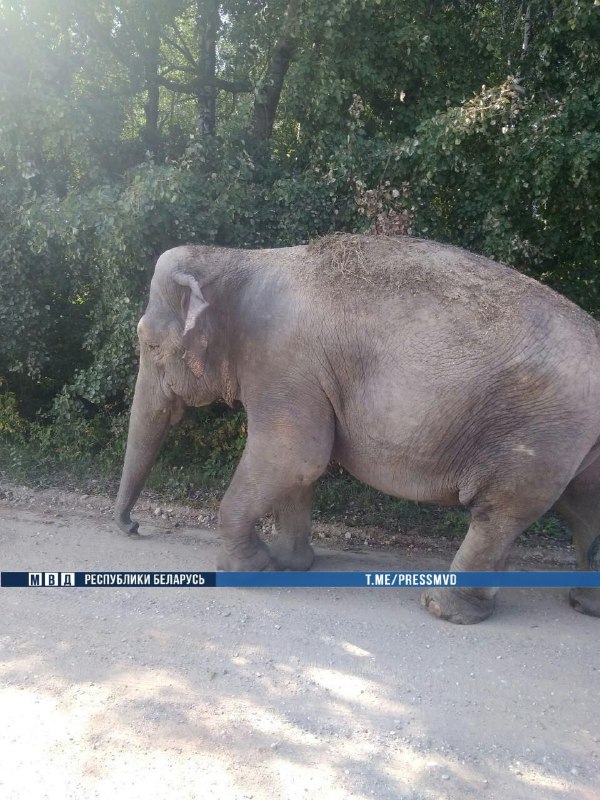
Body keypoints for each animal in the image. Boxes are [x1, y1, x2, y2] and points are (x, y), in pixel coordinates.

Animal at [115, 234, 600, 620]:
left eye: (150, 345)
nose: (132, 528)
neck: (236, 258)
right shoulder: (300, 375)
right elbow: (299, 467)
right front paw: (290, 565)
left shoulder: (283, 363)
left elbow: (295, 455)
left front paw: (251, 571)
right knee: (583, 508)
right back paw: (583, 604)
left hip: (540, 431)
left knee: (501, 510)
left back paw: (445, 609)